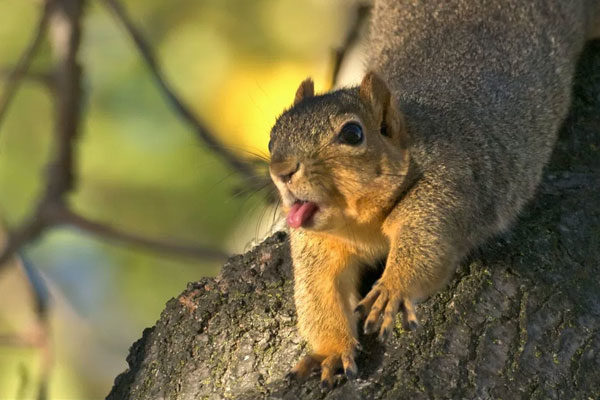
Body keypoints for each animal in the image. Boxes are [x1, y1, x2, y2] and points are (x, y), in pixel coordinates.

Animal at [268, 0, 600, 390]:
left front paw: (393, 288)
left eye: (352, 134)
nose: (281, 170)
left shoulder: (448, 186)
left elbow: (429, 247)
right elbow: (319, 294)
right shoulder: (316, 244)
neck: (360, 224)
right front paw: (330, 351)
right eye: (272, 138)